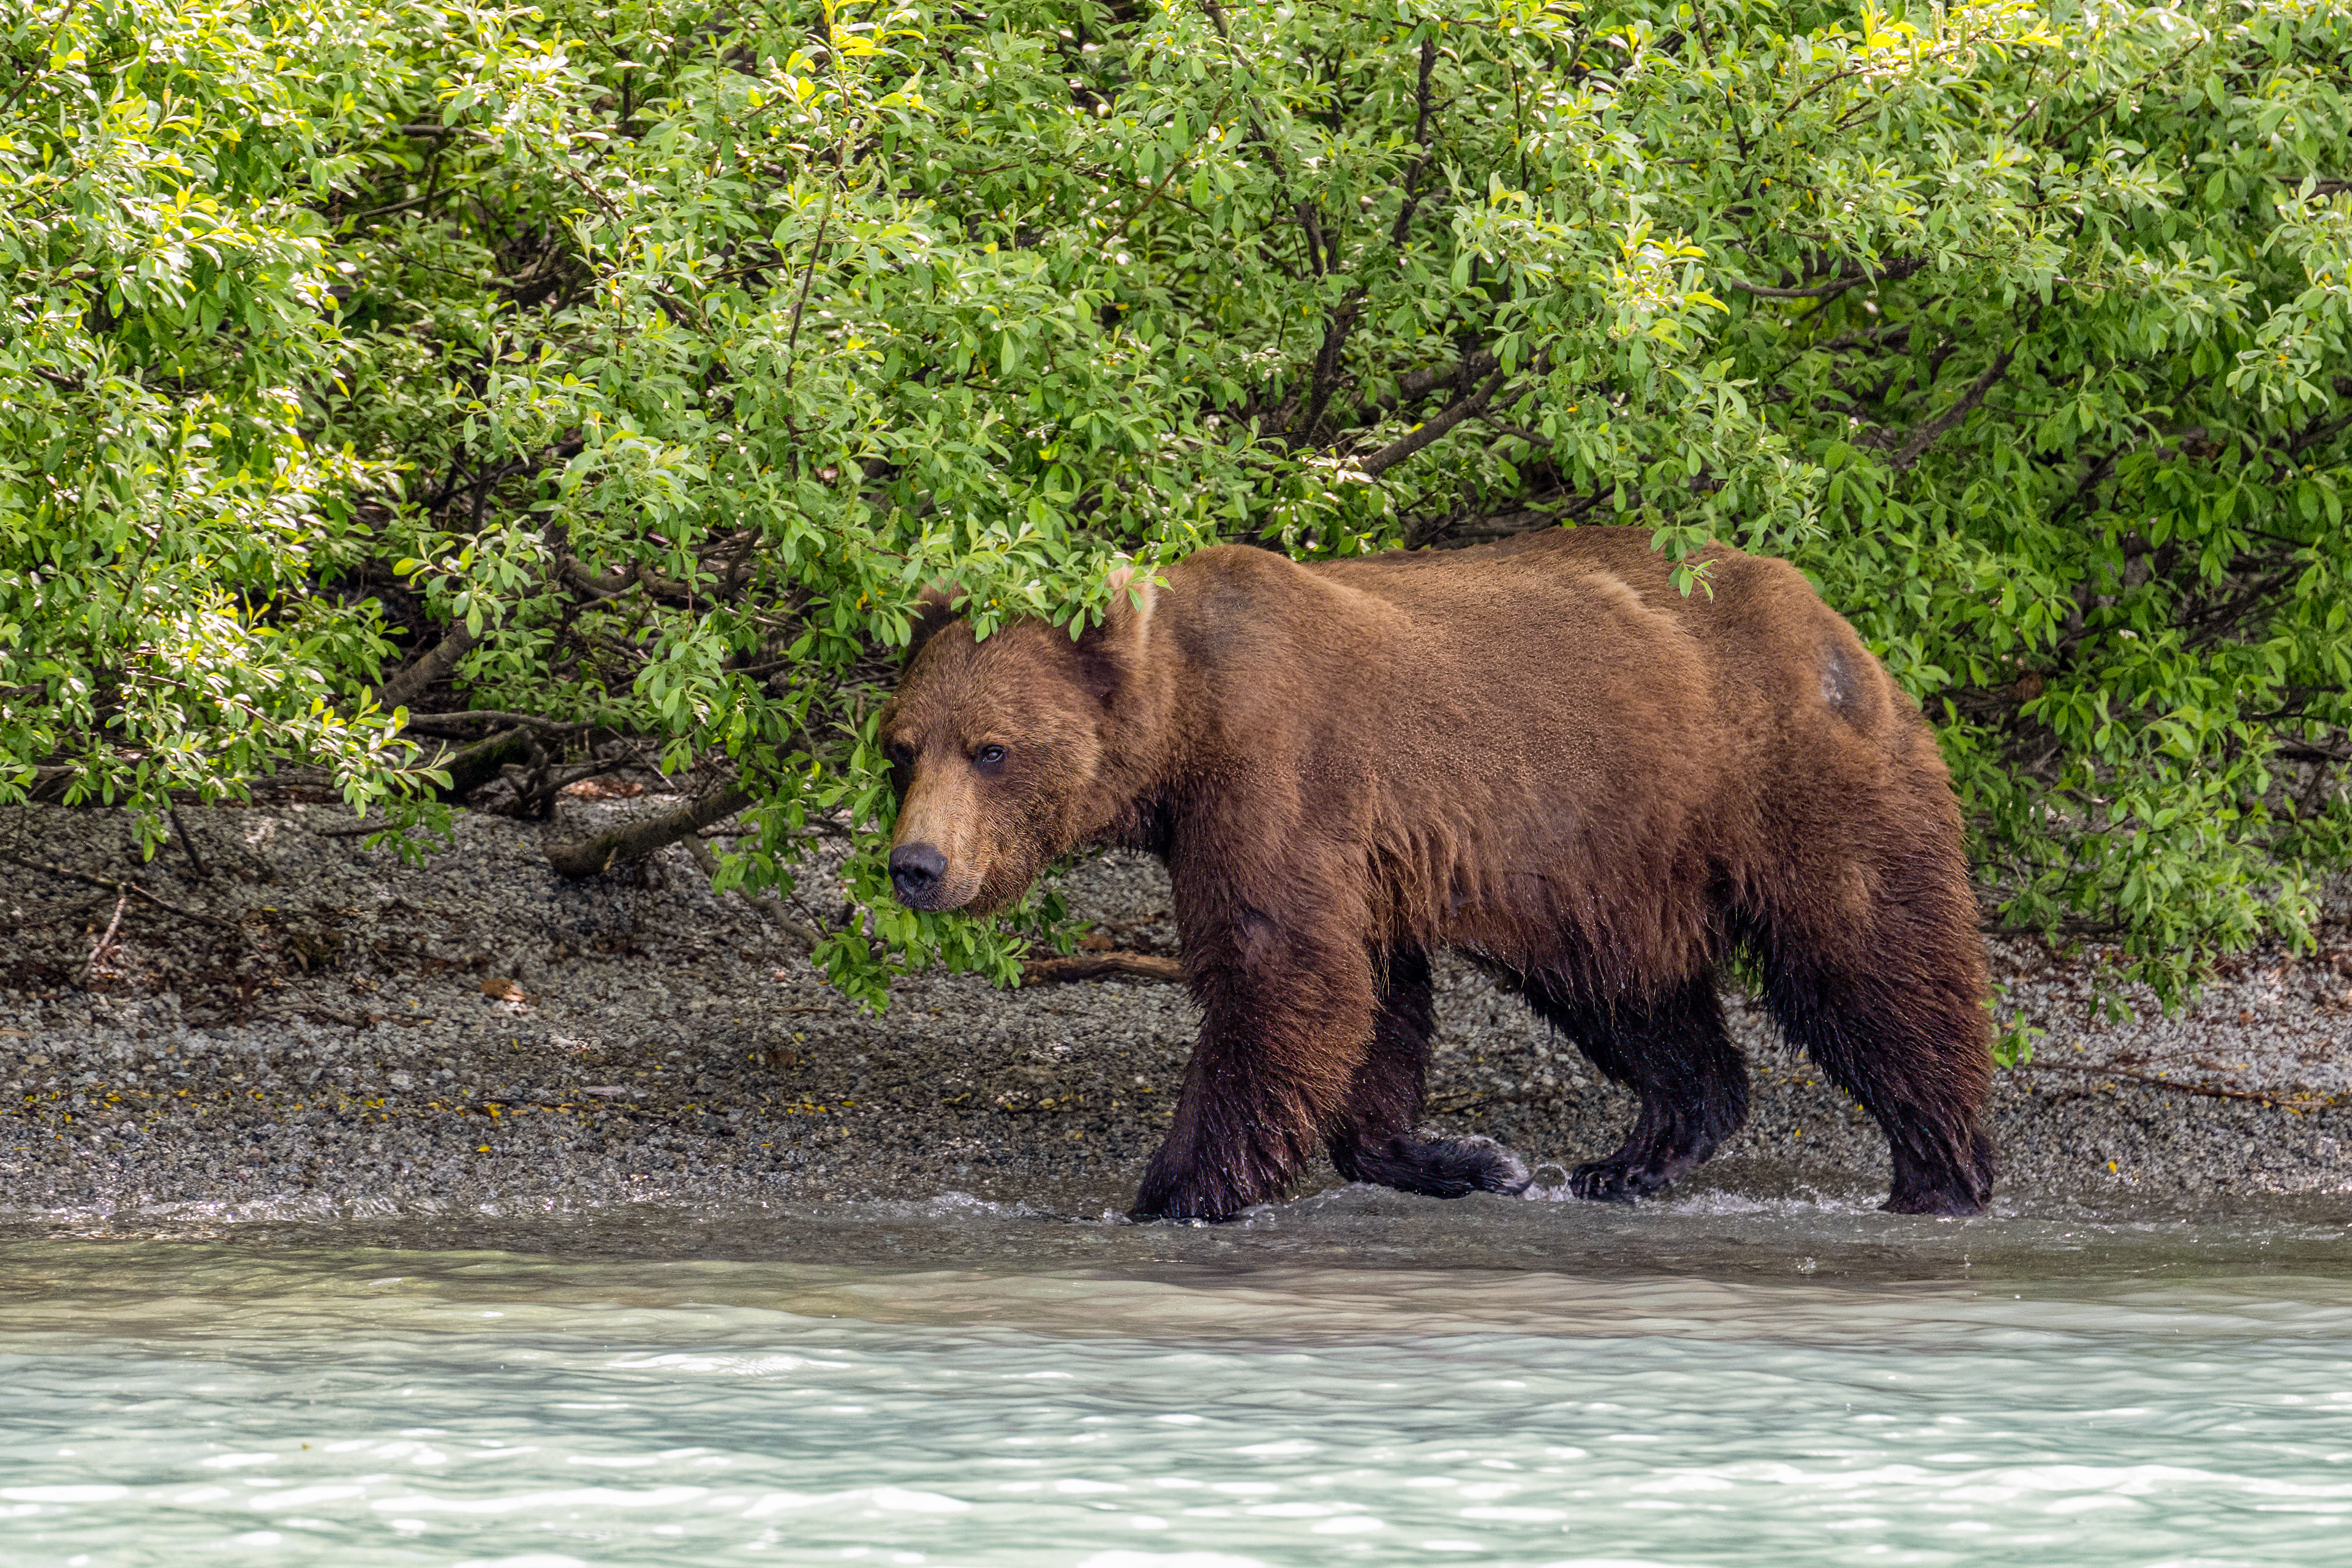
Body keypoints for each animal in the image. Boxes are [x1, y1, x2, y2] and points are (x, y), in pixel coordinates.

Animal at [878, 525, 1996, 1222]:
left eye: (991, 749)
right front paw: (1476, 1162)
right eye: (902, 747)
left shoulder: (1281, 778)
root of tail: (1827, 613)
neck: (1183, 728)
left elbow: (1281, 974)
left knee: (1872, 956)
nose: (917, 865)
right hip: (1613, 860)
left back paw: (1939, 1171)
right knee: (1628, 995)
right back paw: (1631, 1158)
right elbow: (1369, 1004)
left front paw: (1173, 1192)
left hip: (1788, 777)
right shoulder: (1359, 856)